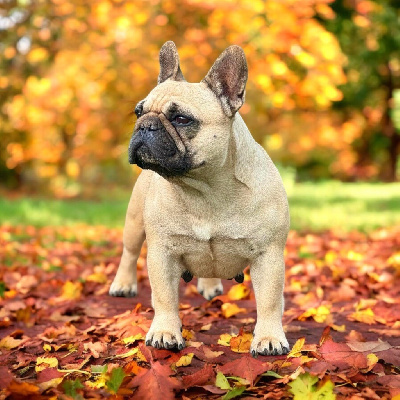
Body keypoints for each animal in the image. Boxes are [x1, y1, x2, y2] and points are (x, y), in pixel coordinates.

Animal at [109, 41, 290, 356]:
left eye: (182, 119)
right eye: (137, 112)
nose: (144, 125)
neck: (205, 190)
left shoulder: (268, 255)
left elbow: (269, 302)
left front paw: (269, 337)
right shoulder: (163, 253)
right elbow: (164, 297)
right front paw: (165, 331)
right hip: (133, 224)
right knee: (129, 254)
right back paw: (123, 284)